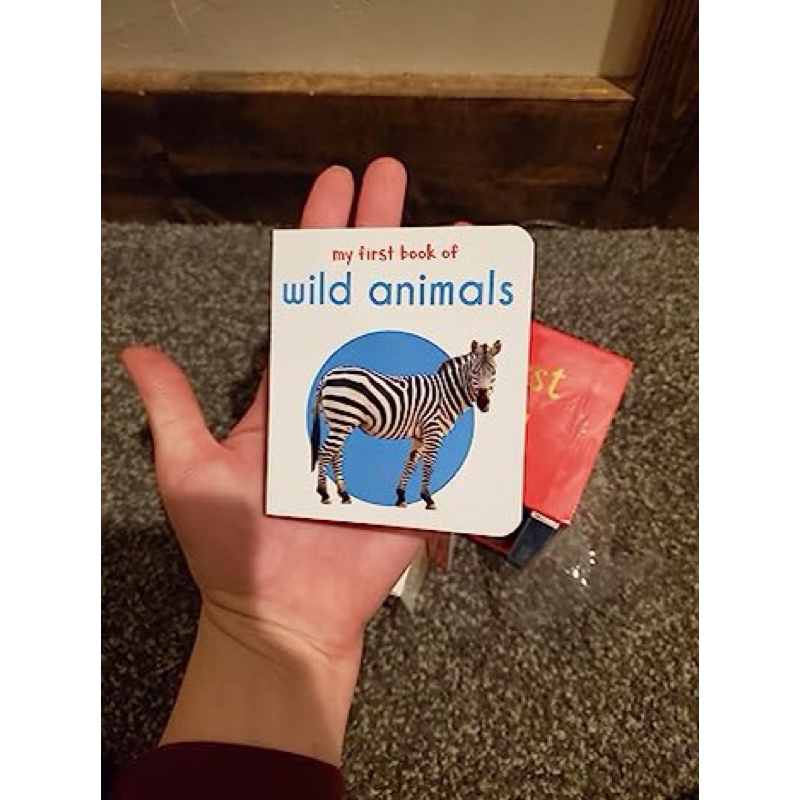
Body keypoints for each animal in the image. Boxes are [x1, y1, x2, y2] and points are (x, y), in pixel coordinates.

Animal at [309, 339, 502, 510]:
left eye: (493, 372)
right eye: (474, 372)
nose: (484, 403)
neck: (446, 394)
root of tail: (328, 375)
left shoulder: (420, 434)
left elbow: (411, 463)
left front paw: (401, 497)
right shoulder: (433, 431)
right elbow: (429, 464)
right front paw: (428, 499)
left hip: (337, 421)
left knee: (336, 454)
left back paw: (344, 495)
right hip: (343, 419)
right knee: (325, 452)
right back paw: (324, 494)